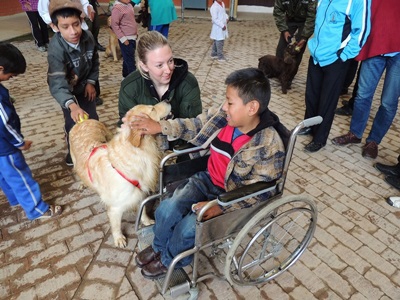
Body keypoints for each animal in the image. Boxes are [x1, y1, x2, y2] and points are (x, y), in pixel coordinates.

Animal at [69, 102, 171, 247]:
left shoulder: (139, 192)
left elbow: (143, 209)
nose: (167, 100)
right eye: (152, 109)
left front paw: (146, 221)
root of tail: (83, 121)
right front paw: (119, 239)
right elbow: (116, 225)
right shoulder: (116, 207)